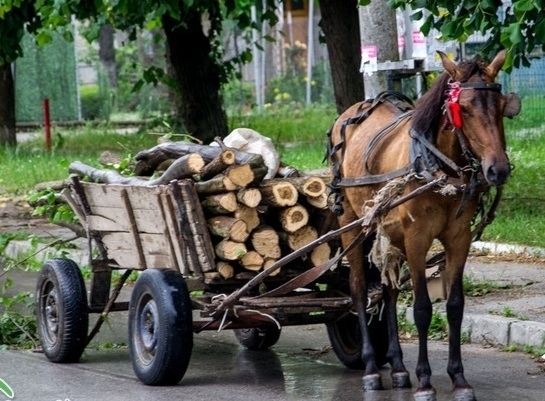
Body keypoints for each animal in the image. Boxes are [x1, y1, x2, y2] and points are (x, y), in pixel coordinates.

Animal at [326, 50, 520, 400]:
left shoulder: (459, 238)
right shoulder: (417, 239)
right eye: (464, 109)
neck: (437, 165)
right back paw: (372, 368)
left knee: (387, 291)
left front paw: (458, 378)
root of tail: (350, 112)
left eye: (501, 106)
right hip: (352, 224)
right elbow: (421, 309)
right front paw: (425, 380)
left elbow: (455, 306)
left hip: (389, 232)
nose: (497, 169)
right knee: (359, 289)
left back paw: (398, 367)